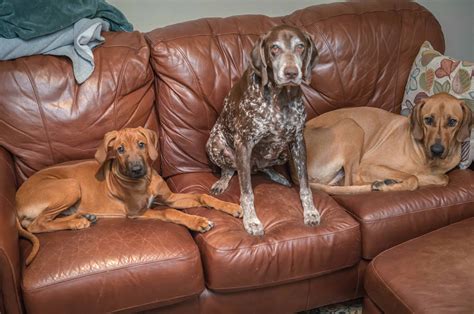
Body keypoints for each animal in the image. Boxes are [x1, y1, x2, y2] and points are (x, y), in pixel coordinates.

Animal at [16, 126, 243, 266]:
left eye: (141, 144)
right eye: (120, 149)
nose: (136, 169)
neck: (145, 181)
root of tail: (17, 202)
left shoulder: (169, 197)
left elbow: (203, 196)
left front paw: (232, 207)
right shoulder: (138, 212)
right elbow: (169, 212)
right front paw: (198, 221)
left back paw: (84, 217)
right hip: (71, 186)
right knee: (37, 224)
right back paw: (77, 223)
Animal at [206, 25, 320, 236]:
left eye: (300, 47)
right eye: (274, 48)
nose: (291, 73)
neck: (280, 97)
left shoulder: (298, 141)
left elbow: (305, 185)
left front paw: (310, 212)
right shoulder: (243, 143)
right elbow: (247, 193)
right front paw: (251, 221)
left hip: (283, 153)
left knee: (265, 167)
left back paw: (278, 176)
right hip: (215, 143)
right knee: (230, 169)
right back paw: (222, 182)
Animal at [290, 92, 472, 194]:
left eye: (452, 122)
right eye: (428, 120)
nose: (437, 150)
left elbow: (442, 178)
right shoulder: (369, 165)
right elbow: (413, 178)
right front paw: (387, 184)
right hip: (351, 125)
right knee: (352, 181)